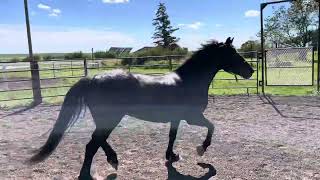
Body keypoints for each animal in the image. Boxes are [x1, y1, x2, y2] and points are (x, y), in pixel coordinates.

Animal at [28, 37, 254, 179]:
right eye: (233, 54)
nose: (251, 71)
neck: (188, 81)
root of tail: (93, 79)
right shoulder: (193, 116)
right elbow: (211, 127)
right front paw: (201, 150)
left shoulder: (177, 118)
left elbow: (172, 136)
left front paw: (171, 156)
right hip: (111, 118)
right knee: (92, 144)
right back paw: (89, 172)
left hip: (106, 119)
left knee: (98, 141)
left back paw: (113, 160)